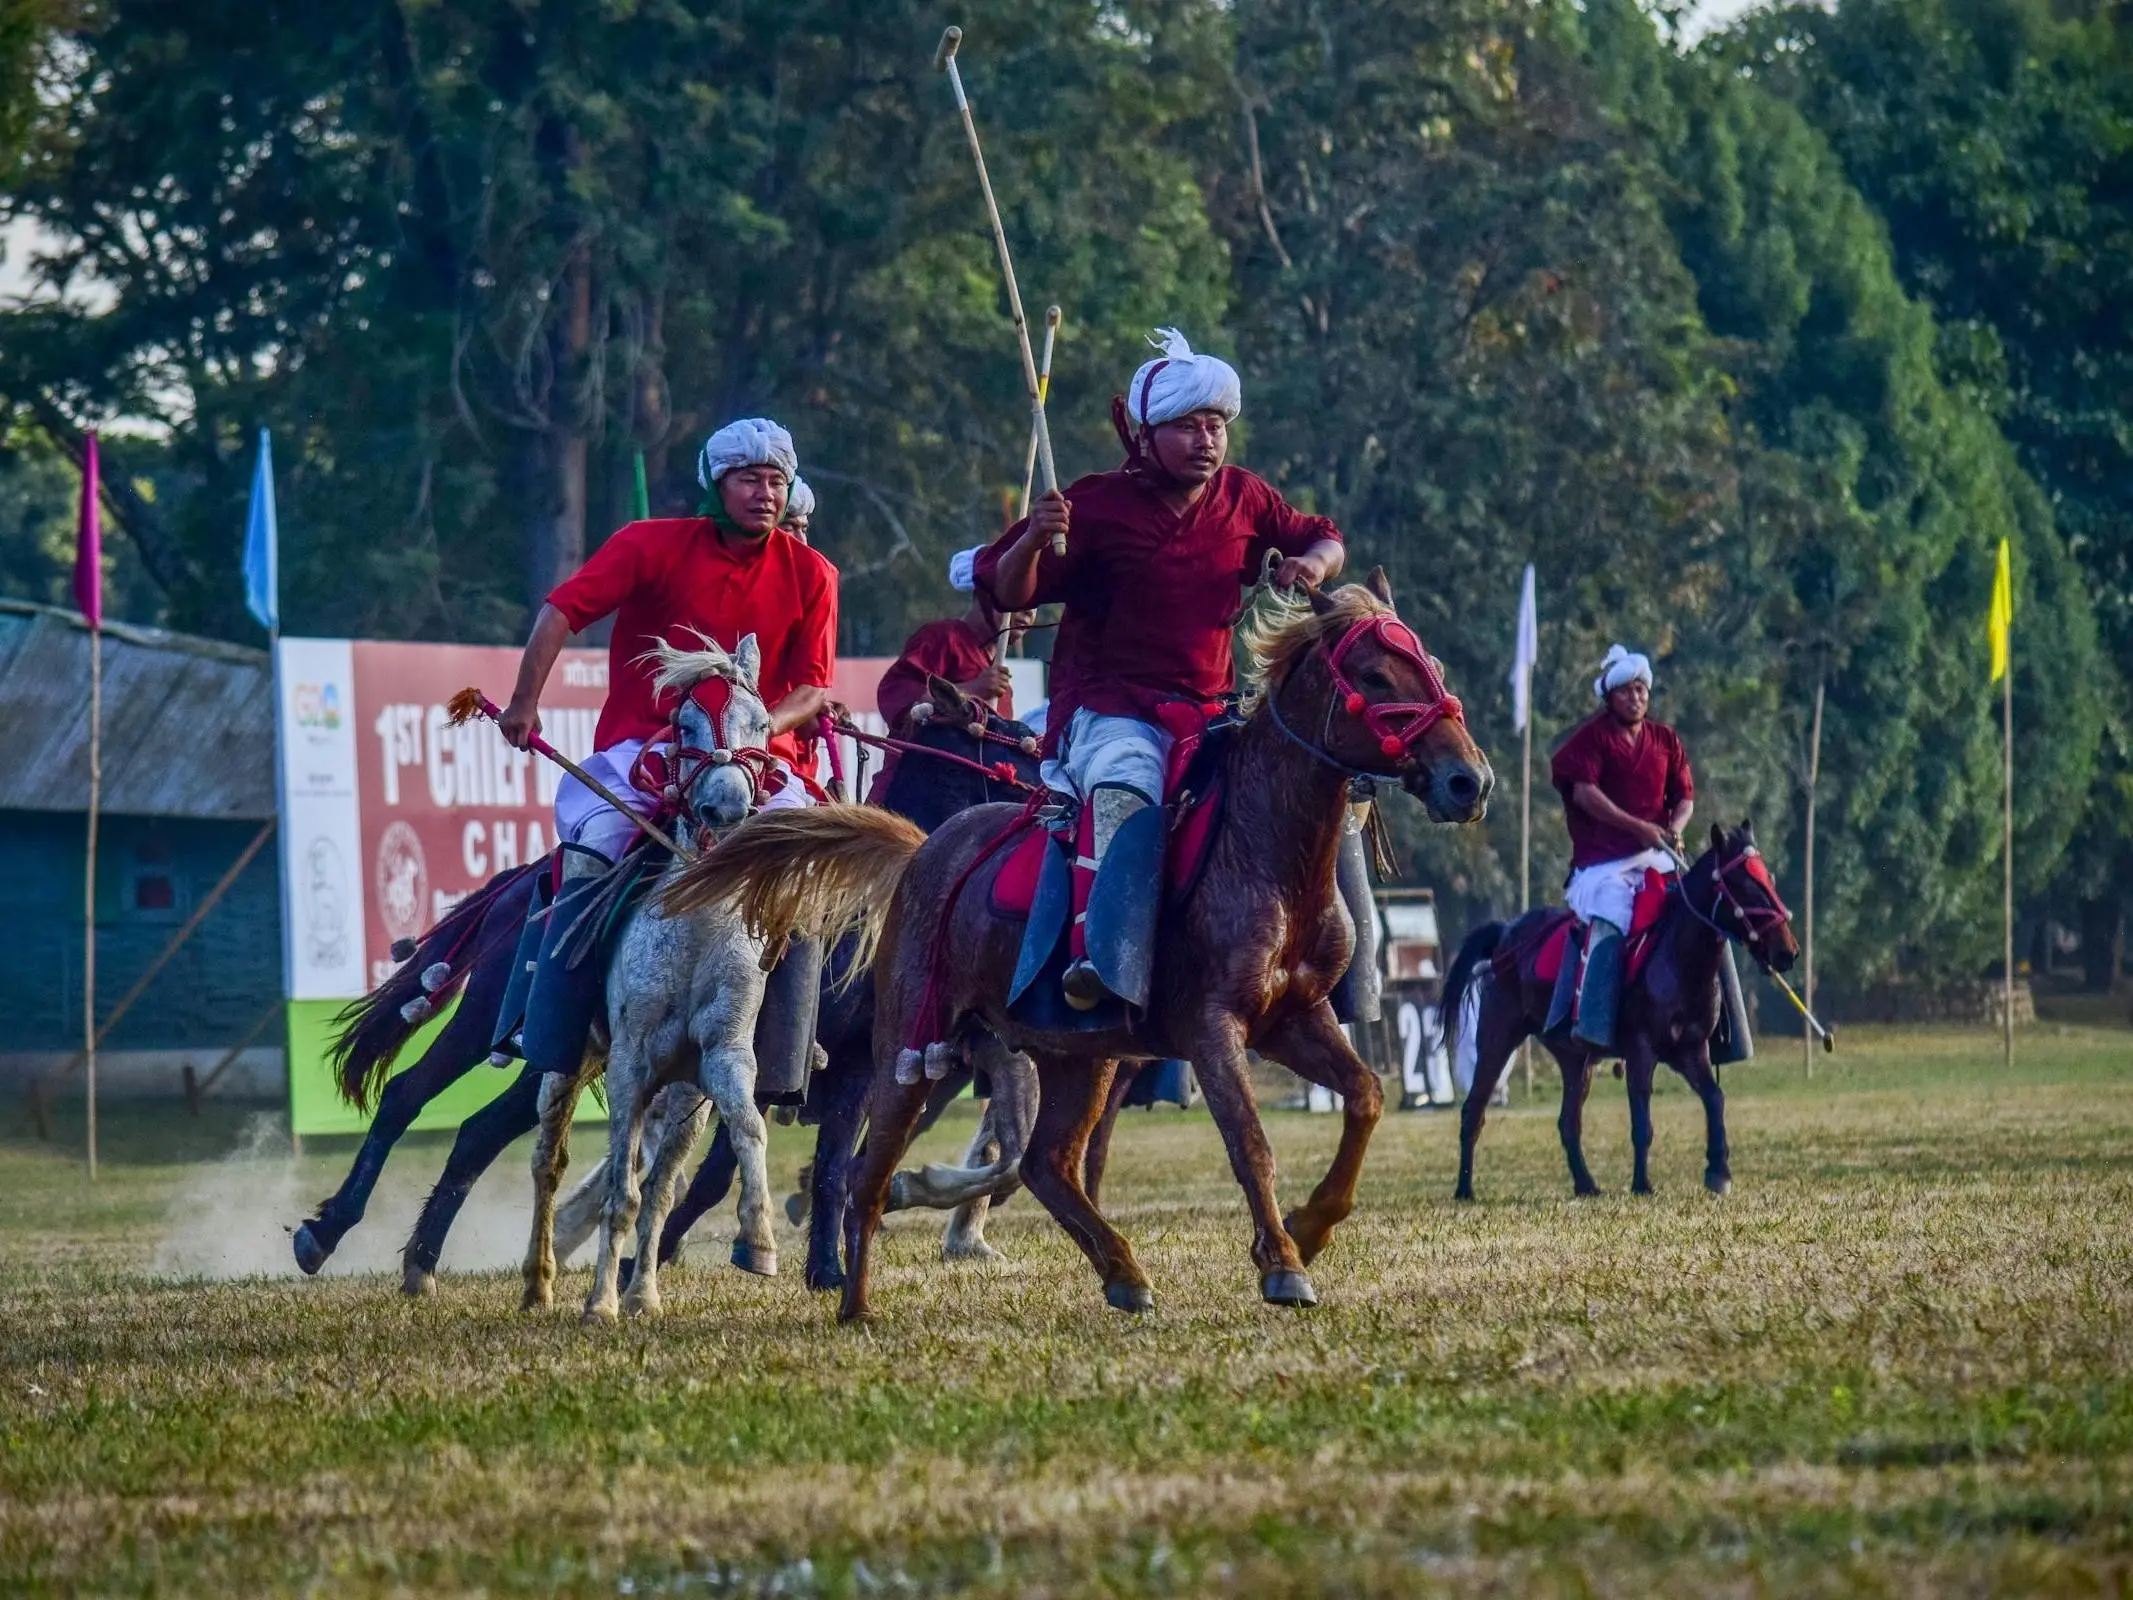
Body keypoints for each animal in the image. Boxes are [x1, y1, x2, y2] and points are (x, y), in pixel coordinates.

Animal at [661, 584, 1484, 1322]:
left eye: (1430, 665)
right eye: (1374, 676)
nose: (1467, 779)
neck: (1261, 852)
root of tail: (925, 849)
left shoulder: (1293, 1019)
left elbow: (1365, 1096)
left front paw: (1309, 1229)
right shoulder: (1212, 1029)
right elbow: (1251, 1143)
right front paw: (1283, 1263)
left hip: (1075, 1054)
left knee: (1042, 1163)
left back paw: (1119, 1271)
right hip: (909, 1050)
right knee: (869, 1168)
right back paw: (852, 1297)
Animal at [1433, 827, 1800, 1203]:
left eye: (1768, 879)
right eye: (1744, 884)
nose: (1787, 952)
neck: (1678, 958)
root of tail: (1506, 934)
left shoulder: (1691, 1050)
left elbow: (1714, 1098)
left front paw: (1718, 1171)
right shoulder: (1641, 1050)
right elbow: (1642, 1122)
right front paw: (1642, 1184)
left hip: (1574, 1058)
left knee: (1568, 1121)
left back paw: (1586, 1184)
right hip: (1497, 1036)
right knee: (1474, 1109)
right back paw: (1464, 1189)